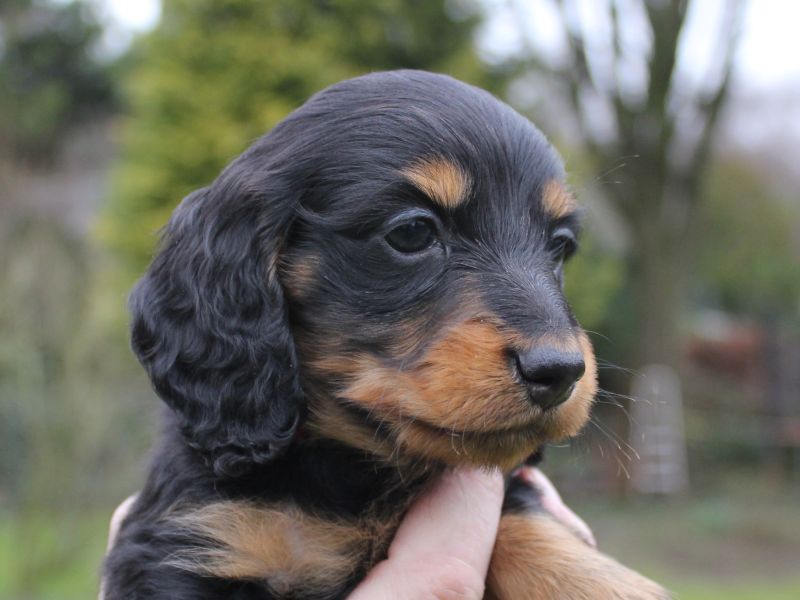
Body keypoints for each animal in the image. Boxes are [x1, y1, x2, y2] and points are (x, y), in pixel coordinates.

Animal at [101, 71, 668, 600]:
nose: (561, 371)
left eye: (561, 246)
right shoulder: (201, 538)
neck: (357, 474)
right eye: (412, 232)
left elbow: (531, 528)